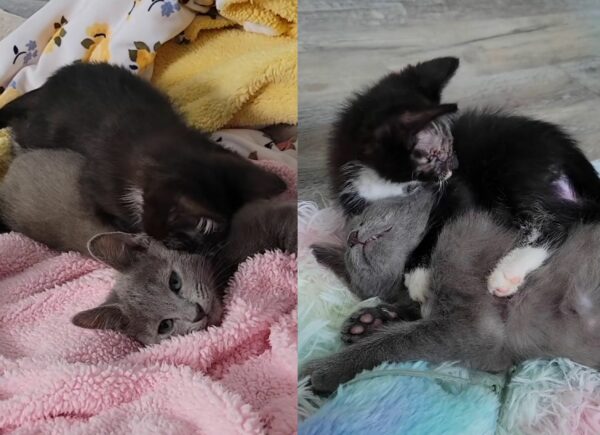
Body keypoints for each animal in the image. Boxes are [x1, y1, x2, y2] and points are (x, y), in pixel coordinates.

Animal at [328, 57, 600, 300]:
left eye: (450, 147)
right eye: (439, 154)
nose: (457, 165)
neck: (383, 183)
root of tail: (569, 150)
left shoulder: (458, 192)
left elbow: (438, 227)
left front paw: (418, 277)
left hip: (515, 168)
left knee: (554, 222)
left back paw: (507, 271)